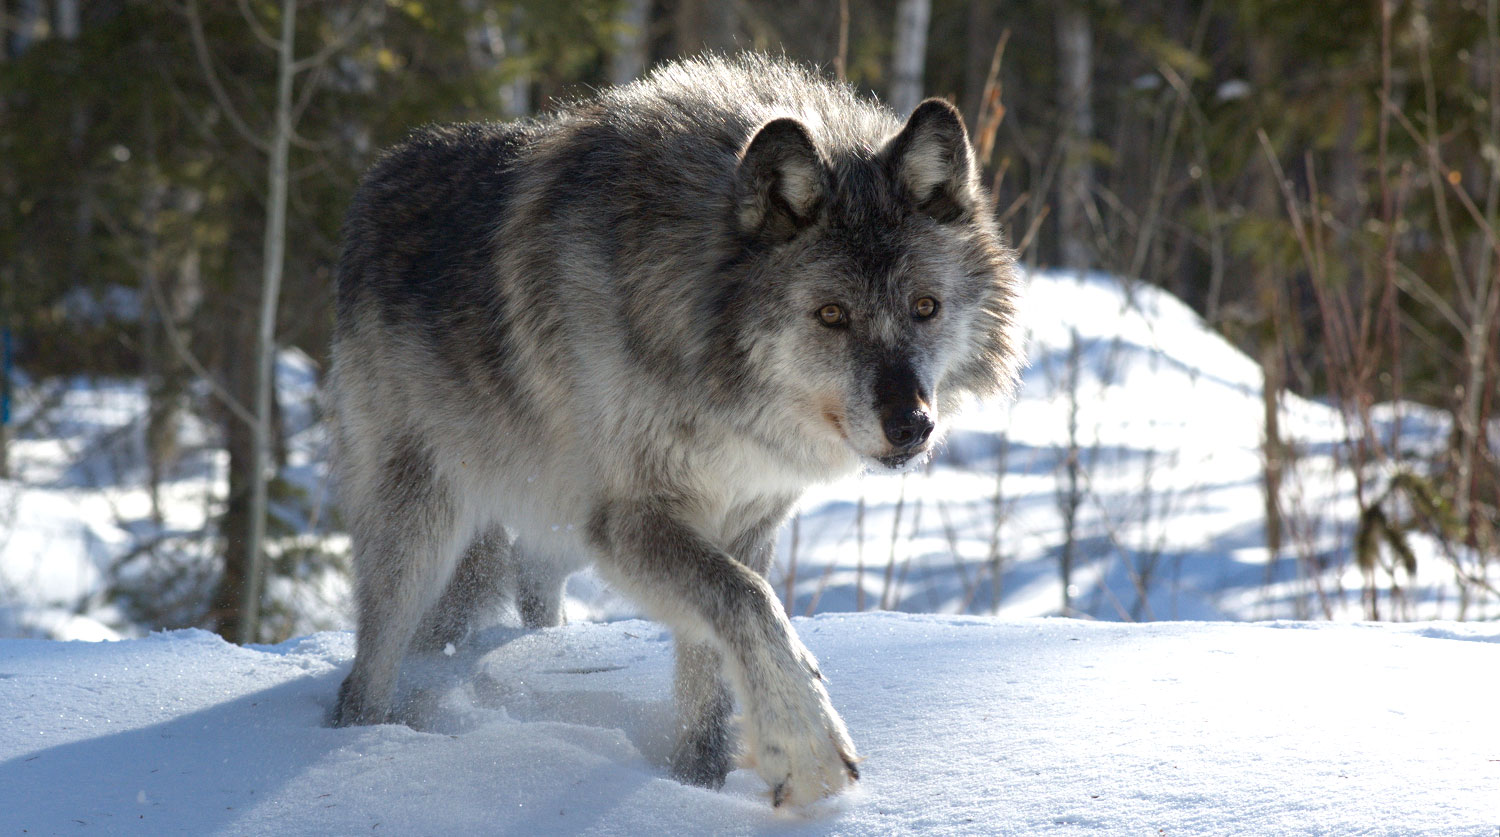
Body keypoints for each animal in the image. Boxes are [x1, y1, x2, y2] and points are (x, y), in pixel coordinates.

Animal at [331, 54, 1020, 816]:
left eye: (925, 307)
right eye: (832, 314)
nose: (912, 425)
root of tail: (378, 177)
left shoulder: (743, 520)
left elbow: (711, 667)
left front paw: (695, 786)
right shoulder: (632, 520)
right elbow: (751, 602)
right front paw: (806, 748)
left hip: (549, 532)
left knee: (524, 583)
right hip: (427, 528)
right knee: (370, 667)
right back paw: (360, 743)